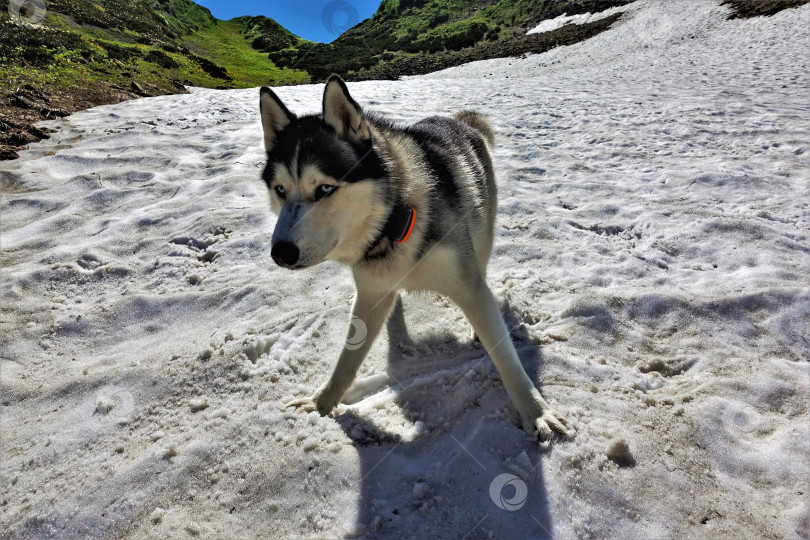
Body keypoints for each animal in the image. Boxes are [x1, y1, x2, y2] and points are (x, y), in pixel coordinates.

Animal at [258, 75, 568, 442]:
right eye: (280, 191)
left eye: (324, 189)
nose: (281, 252)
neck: (393, 222)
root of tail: (459, 120)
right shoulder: (372, 291)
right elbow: (347, 359)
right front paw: (320, 404)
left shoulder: (467, 285)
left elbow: (505, 356)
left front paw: (536, 412)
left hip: (482, 233)